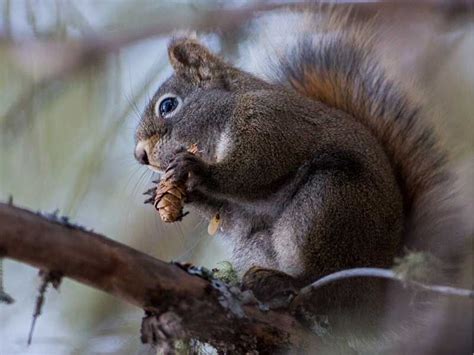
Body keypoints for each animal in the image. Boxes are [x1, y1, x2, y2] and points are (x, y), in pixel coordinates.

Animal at [131, 9, 464, 354]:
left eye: (168, 105)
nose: (139, 155)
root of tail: (374, 303)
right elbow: (232, 212)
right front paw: (165, 192)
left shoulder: (272, 122)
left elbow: (254, 169)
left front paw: (197, 170)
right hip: (260, 242)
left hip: (330, 205)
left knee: (325, 290)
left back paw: (287, 284)